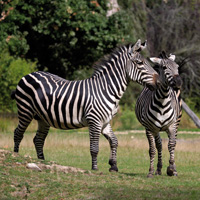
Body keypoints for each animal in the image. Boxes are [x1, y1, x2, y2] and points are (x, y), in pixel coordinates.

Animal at [12, 39, 159, 172]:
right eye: (140, 63)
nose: (159, 82)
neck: (106, 89)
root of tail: (28, 74)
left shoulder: (105, 122)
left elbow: (114, 141)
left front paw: (113, 165)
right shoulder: (94, 121)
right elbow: (94, 148)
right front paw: (95, 168)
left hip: (43, 118)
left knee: (38, 139)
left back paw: (42, 161)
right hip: (25, 111)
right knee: (18, 133)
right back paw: (16, 155)